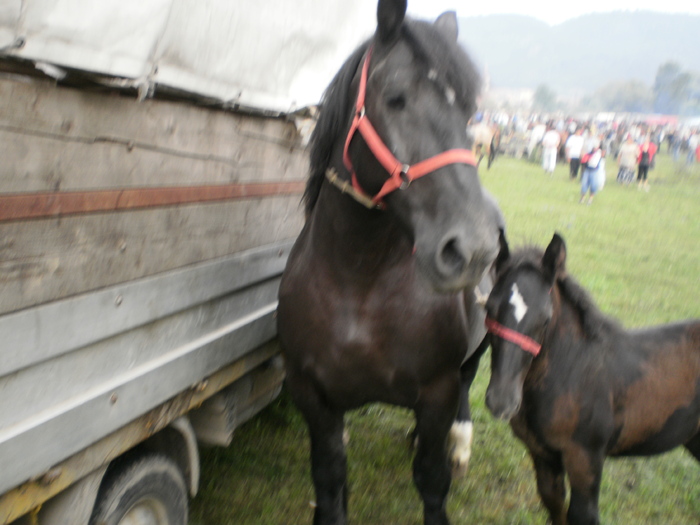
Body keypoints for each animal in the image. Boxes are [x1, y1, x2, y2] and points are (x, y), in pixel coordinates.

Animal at [276, 2, 500, 520]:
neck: (358, 285)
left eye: (468, 111)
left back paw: (459, 443)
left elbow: (432, 481)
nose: (473, 248)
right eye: (396, 98)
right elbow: (330, 477)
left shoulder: (437, 391)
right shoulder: (311, 394)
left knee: (468, 381)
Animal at [484, 233, 696, 524]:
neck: (573, 372)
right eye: (488, 307)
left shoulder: (586, 460)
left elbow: (582, 515)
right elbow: (555, 507)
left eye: (545, 318)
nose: (501, 401)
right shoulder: (543, 456)